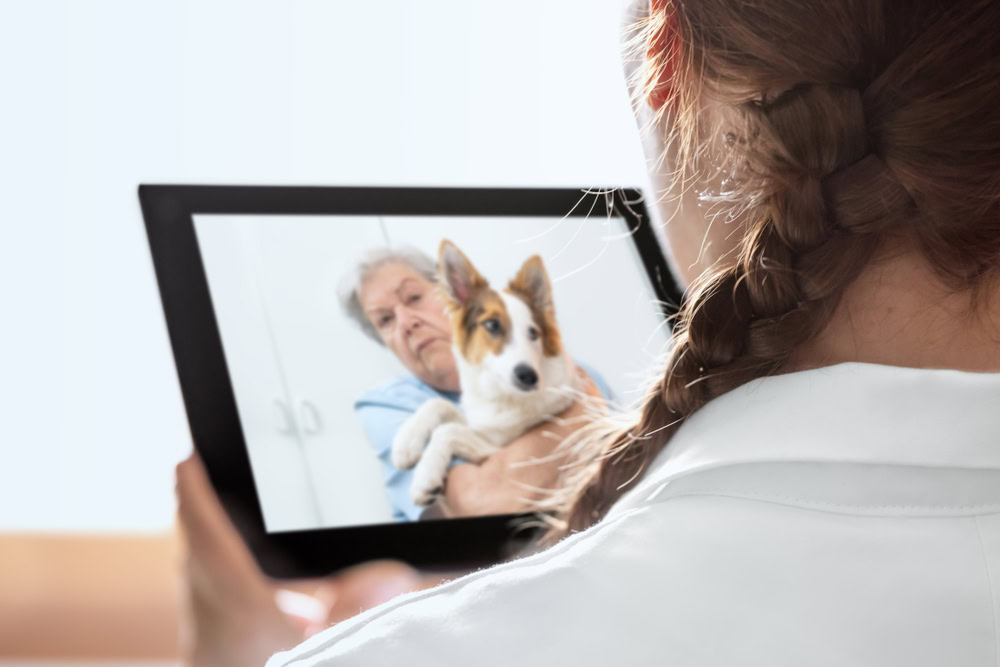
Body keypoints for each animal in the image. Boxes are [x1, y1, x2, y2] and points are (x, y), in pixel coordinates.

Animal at [390, 240, 580, 506]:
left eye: (533, 333)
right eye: (492, 324)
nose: (529, 377)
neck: (498, 394)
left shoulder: (499, 448)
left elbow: (447, 430)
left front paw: (425, 477)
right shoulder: (479, 423)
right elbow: (438, 403)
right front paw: (406, 443)